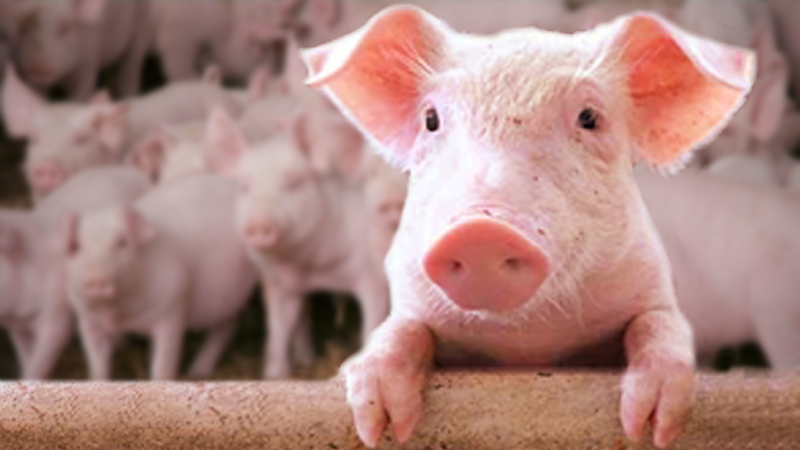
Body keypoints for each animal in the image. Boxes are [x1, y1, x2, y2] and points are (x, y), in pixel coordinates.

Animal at [4, 0, 150, 100]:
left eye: (65, 28)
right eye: (25, 27)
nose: (38, 66)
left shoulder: (89, 62)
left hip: (140, 31)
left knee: (129, 74)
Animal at [59, 174, 257, 380]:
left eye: (123, 242)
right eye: (76, 246)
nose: (97, 278)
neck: (118, 314)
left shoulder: (171, 312)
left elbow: (163, 365)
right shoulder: (88, 320)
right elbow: (97, 366)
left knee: (226, 329)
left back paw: (196, 372)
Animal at [206, 108, 390, 379]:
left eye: (293, 183)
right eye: (244, 186)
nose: (259, 222)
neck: (310, 267)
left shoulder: (372, 277)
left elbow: (372, 322)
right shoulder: (281, 284)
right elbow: (279, 330)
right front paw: (275, 375)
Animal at [303, 6, 755, 448]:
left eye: (589, 118)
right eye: (431, 119)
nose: (479, 233)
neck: (529, 343)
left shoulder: (651, 285)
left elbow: (658, 324)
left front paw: (651, 428)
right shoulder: (412, 297)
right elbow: (399, 330)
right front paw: (377, 425)